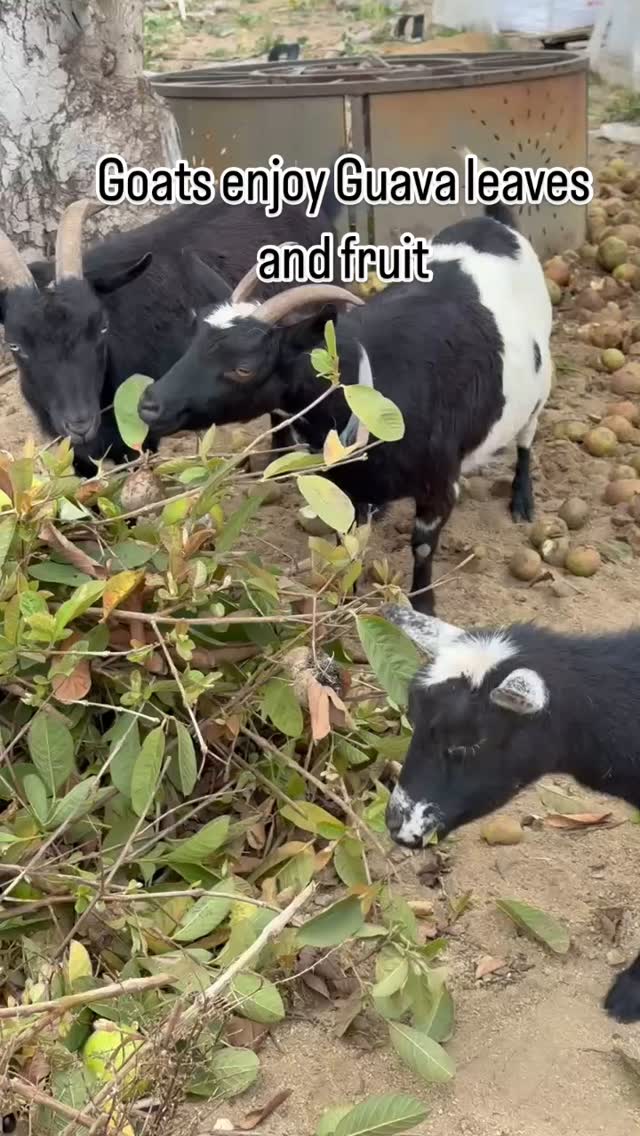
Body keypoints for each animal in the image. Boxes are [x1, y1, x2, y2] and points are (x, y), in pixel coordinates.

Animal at [138, 201, 552, 614]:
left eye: (243, 367)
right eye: (192, 341)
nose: (149, 405)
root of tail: (494, 225)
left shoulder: (438, 484)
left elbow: (421, 546)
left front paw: (423, 607)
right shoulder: (342, 486)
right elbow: (346, 543)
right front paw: (344, 601)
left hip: (540, 384)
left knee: (526, 439)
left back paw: (522, 501)